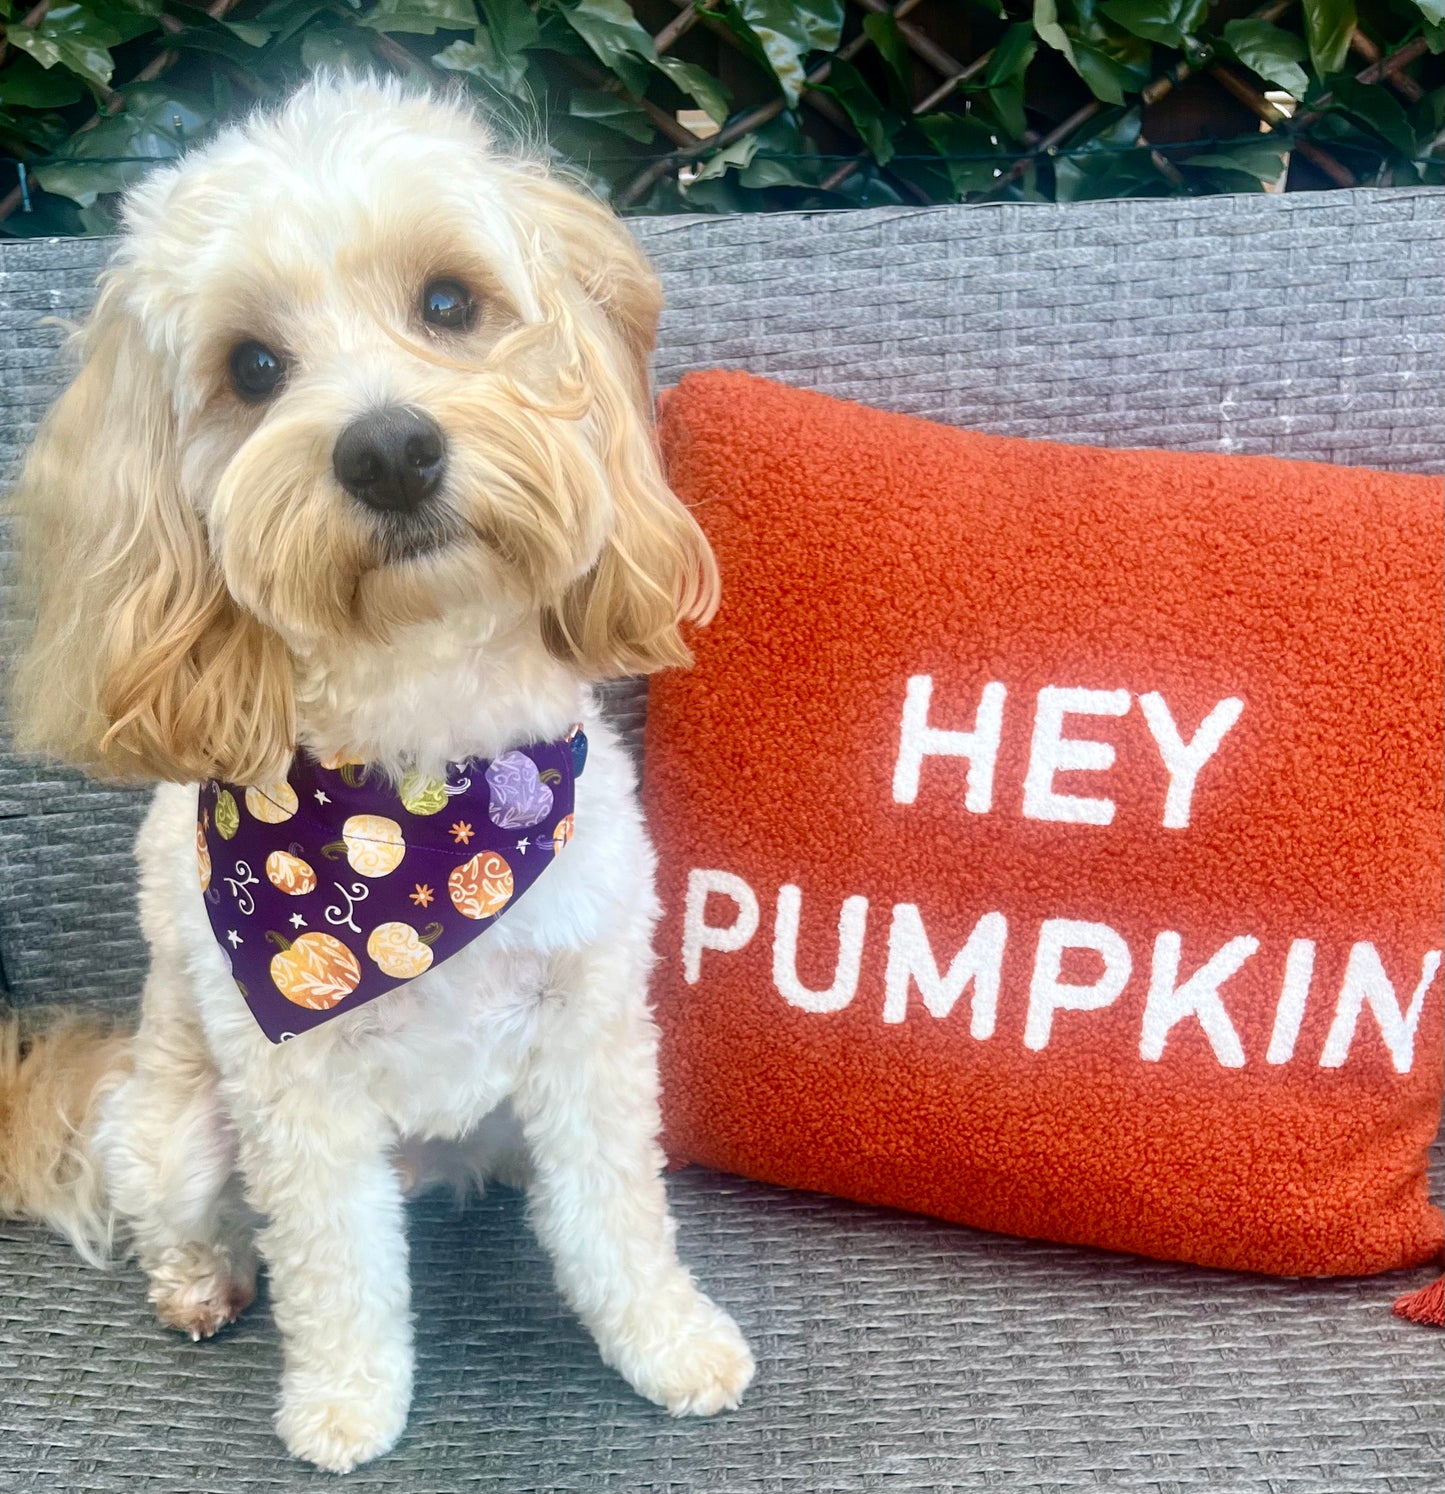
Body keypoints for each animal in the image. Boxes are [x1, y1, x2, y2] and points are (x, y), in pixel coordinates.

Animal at [5, 72, 756, 1470]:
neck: (418, 774)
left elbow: (615, 1216)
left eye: (449, 302)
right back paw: (200, 1284)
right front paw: (344, 1404)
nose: (390, 450)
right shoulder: (292, 1090)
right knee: (171, 1207)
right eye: (251, 368)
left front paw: (666, 1342)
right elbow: (335, 1264)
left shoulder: (589, 1026)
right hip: (179, 1120)